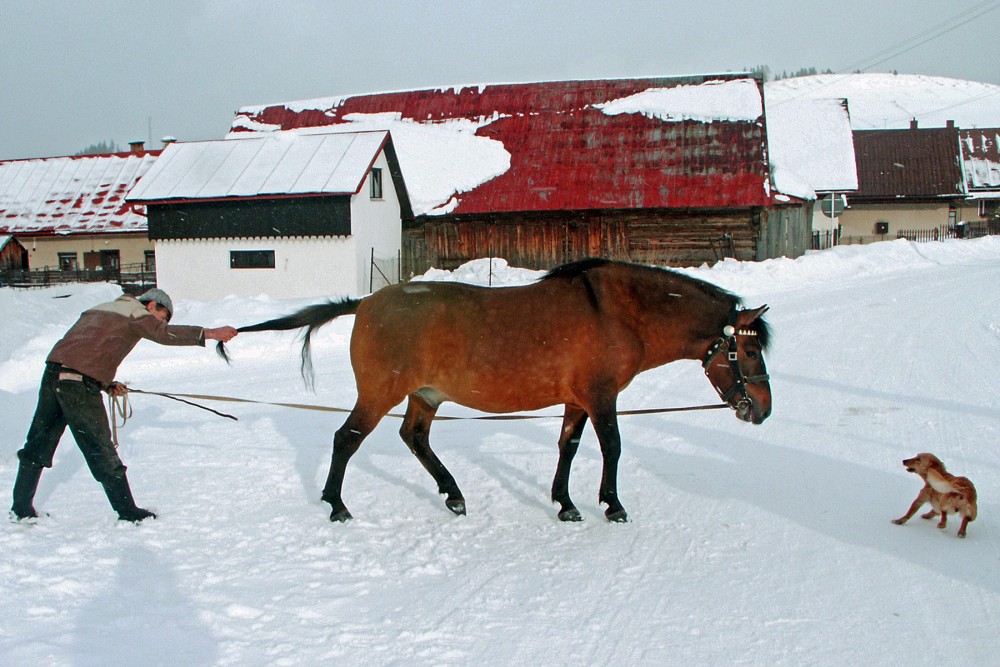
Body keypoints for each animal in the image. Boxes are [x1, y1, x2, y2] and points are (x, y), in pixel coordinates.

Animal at [227, 258, 772, 524]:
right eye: (747, 350)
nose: (763, 410)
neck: (614, 311)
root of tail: (365, 302)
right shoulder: (600, 396)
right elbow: (612, 447)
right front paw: (612, 505)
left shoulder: (576, 399)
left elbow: (568, 447)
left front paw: (565, 503)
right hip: (381, 393)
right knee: (347, 439)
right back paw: (337, 505)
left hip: (426, 394)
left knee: (414, 438)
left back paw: (453, 495)